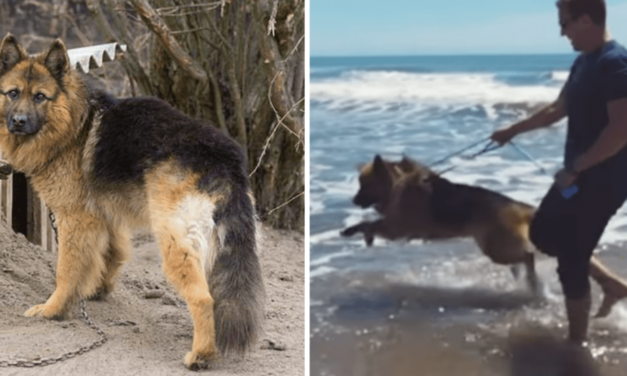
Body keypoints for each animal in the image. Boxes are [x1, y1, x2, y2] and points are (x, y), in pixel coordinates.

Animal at [0, 33, 264, 368]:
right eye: (12, 93)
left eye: (40, 97)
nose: (18, 121)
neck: (74, 123)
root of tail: (224, 157)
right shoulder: (105, 217)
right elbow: (111, 255)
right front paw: (96, 291)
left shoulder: (74, 219)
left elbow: (66, 271)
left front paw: (53, 310)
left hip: (174, 241)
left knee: (204, 298)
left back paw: (201, 354)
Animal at [340, 154, 544, 292]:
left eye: (365, 185)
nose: (353, 200)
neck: (398, 182)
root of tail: (519, 206)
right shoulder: (394, 227)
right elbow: (370, 224)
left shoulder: (396, 228)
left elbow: (368, 223)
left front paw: (352, 231)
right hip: (495, 248)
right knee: (521, 259)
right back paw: (522, 275)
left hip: (495, 249)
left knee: (528, 256)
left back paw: (532, 281)